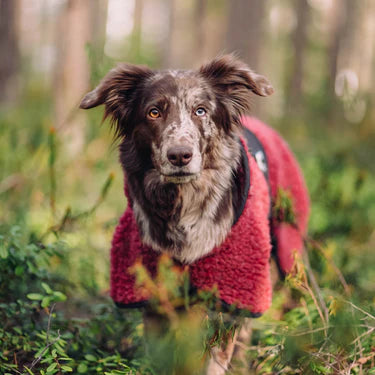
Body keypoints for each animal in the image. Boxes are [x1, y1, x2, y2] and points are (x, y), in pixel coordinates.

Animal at [81, 54, 310, 374]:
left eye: (200, 110)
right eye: (153, 113)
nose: (180, 155)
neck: (182, 205)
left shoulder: (230, 292)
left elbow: (214, 355)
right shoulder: (153, 294)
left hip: (288, 252)